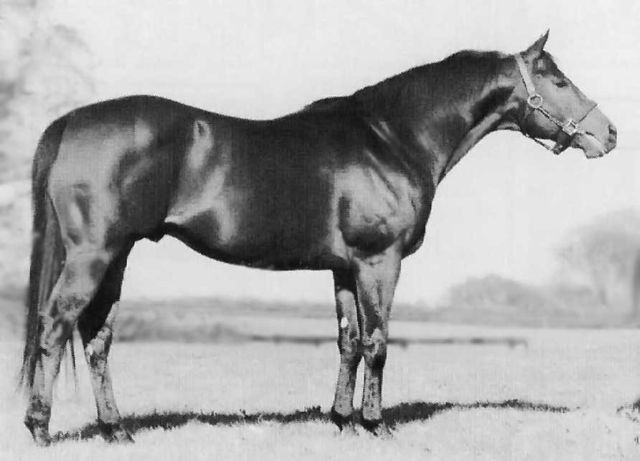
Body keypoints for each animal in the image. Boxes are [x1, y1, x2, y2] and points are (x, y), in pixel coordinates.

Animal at [20, 30, 617, 445]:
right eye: (559, 81)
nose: (608, 134)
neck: (391, 139)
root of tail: (71, 122)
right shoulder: (380, 260)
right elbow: (377, 342)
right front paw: (377, 425)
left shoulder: (344, 267)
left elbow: (348, 341)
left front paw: (343, 421)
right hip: (93, 255)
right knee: (54, 326)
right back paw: (40, 428)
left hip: (116, 256)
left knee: (96, 338)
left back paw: (116, 430)